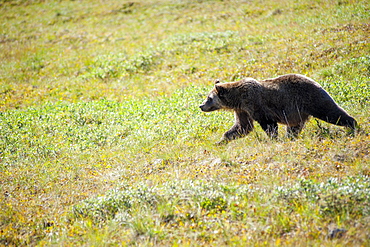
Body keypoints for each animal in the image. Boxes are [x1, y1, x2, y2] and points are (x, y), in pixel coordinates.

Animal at [199, 74, 358, 143]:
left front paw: (273, 138)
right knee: (294, 126)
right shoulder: (243, 110)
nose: (201, 106)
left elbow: (268, 124)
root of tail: (315, 81)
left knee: (331, 113)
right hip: (298, 111)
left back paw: (352, 125)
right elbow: (242, 127)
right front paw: (222, 140)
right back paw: (291, 137)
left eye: (209, 98)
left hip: (311, 99)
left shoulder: (255, 103)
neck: (237, 99)